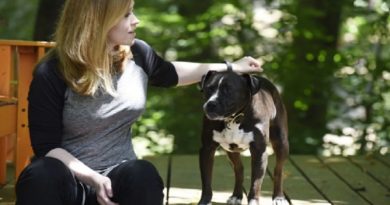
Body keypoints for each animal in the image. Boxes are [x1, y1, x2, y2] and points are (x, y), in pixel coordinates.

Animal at [198, 69, 290, 205]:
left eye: (228, 90)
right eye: (208, 89)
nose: (210, 104)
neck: (234, 118)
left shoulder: (259, 151)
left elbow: (256, 183)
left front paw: (253, 201)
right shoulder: (207, 149)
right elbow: (206, 181)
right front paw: (204, 201)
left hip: (281, 143)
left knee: (278, 170)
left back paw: (278, 197)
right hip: (231, 151)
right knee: (239, 170)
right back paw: (236, 196)